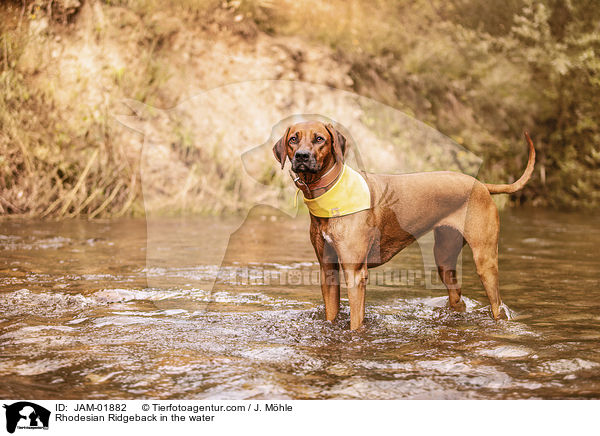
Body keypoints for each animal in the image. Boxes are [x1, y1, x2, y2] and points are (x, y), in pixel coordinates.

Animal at [272, 121, 536, 328]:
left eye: (320, 139)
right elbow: (331, 313)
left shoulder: (355, 272)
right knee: (457, 297)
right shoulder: (328, 270)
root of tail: (481, 184)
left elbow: (356, 322)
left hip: (485, 260)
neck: (330, 193)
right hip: (444, 258)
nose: (302, 156)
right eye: (294, 139)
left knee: (497, 304)